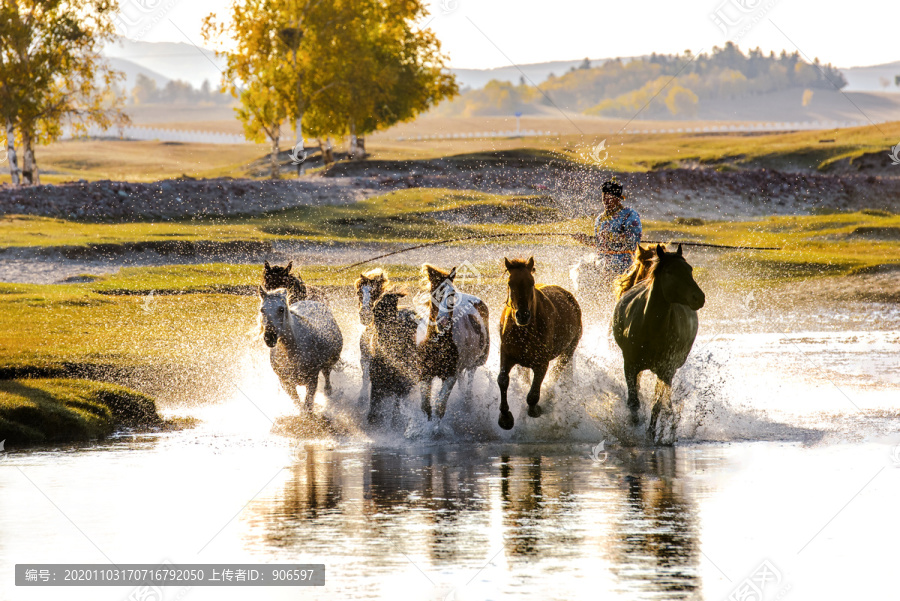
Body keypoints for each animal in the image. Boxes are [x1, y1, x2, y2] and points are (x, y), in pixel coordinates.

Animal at [416, 264, 488, 420]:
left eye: (452, 293)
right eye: (434, 291)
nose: (443, 322)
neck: (437, 344)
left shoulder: (450, 376)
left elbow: (439, 408)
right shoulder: (425, 374)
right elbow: (426, 408)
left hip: (475, 363)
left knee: (469, 384)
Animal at [500, 255, 584, 428]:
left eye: (531, 282)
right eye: (510, 283)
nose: (523, 315)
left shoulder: (542, 363)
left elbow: (533, 394)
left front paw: (535, 408)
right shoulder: (506, 355)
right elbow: (503, 380)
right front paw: (505, 416)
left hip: (569, 349)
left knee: (558, 370)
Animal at [616, 243, 708, 440]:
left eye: (689, 269)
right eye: (670, 271)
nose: (699, 297)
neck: (650, 327)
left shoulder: (666, 368)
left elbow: (657, 403)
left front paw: (652, 433)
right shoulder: (630, 365)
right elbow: (634, 401)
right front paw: (634, 422)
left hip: (668, 371)